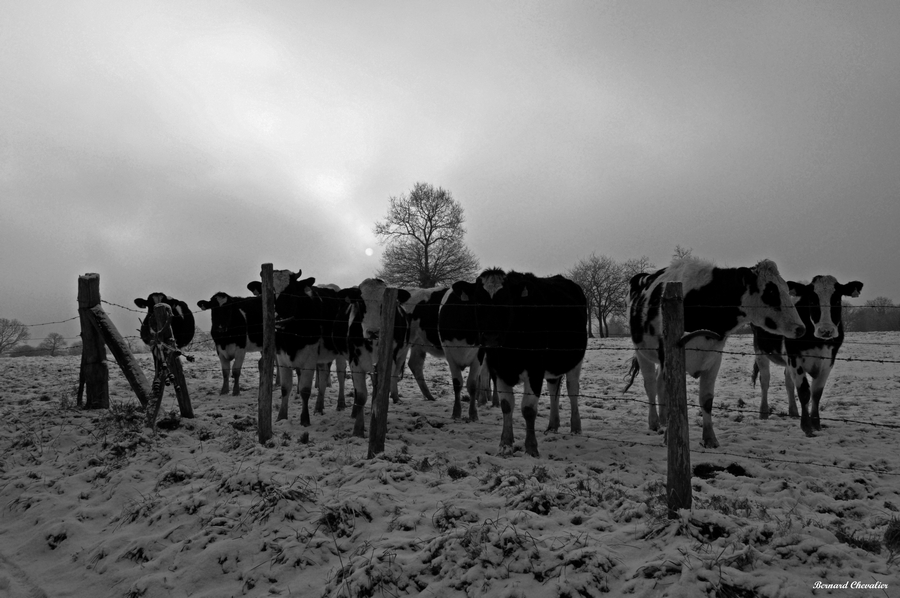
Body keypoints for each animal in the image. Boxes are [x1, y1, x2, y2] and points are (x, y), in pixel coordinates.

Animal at [338, 278, 411, 437]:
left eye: (384, 303)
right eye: (360, 302)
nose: (373, 331)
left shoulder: (389, 363)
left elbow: (381, 394)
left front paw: (379, 424)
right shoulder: (356, 363)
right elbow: (361, 396)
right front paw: (358, 429)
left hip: (399, 356)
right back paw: (353, 411)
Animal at [452, 269, 588, 458]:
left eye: (507, 301)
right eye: (478, 302)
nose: (491, 337)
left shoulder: (535, 370)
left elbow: (528, 409)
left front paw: (531, 447)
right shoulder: (500, 370)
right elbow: (506, 405)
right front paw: (505, 444)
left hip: (575, 360)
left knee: (572, 389)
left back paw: (575, 427)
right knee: (554, 389)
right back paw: (552, 426)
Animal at [626, 258, 806, 448]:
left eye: (786, 288)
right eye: (771, 291)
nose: (800, 328)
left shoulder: (714, 359)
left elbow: (706, 400)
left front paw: (709, 438)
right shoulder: (670, 358)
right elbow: (671, 397)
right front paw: (670, 437)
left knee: (659, 383)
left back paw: (662, 420)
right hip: (642, 352)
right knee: (650, 385)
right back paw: (654, 422)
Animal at [751, 275, 863, 436]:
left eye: (836, 300)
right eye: (812, 300)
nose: (826, 330)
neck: (817, 342)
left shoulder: (828, 362)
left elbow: (816, 393)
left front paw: (816, 423)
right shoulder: (795, 359)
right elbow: (804, 392)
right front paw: (806, 426)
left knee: (788, 383)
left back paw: (793, 412)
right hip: (760, 350)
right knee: (765, 380)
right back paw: (764, 413)